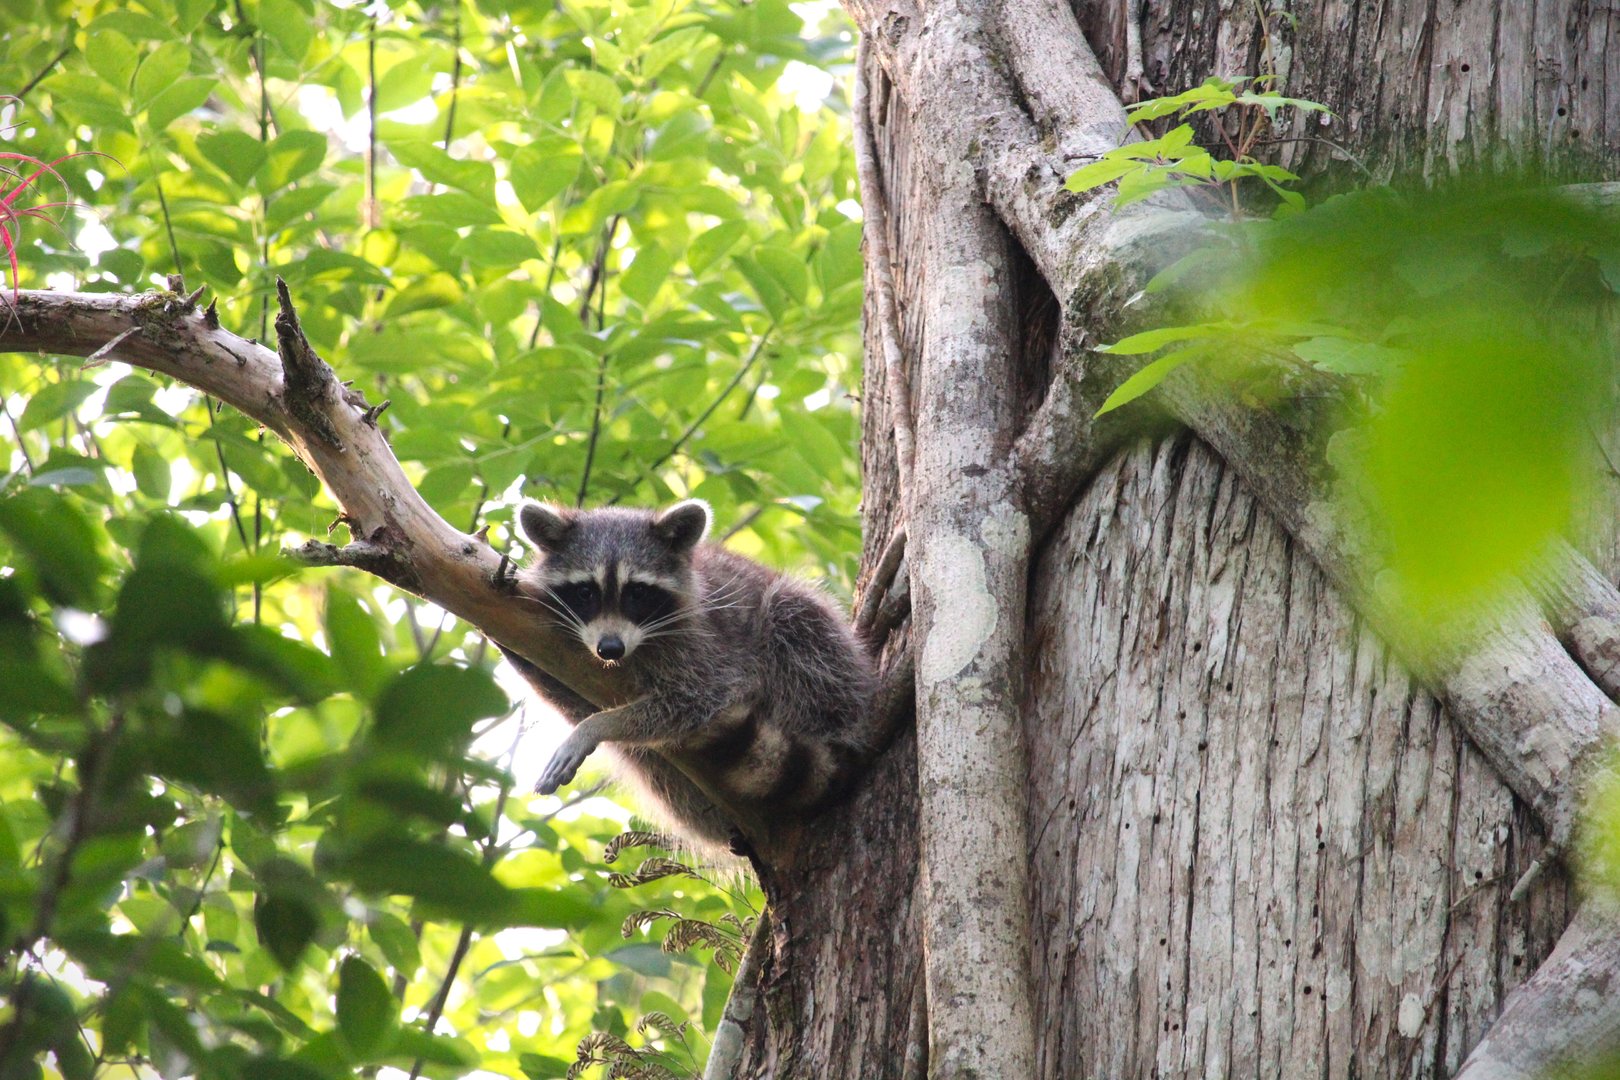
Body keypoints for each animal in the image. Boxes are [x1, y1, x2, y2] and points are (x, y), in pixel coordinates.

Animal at [499, 499, 880, 854]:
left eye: (637, 592)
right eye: (585, 592)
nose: (610, 648)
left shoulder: (705, 644)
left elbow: (698, 699)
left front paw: (598, 726)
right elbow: (568, 698)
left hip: (824, 665)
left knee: (796, 618)